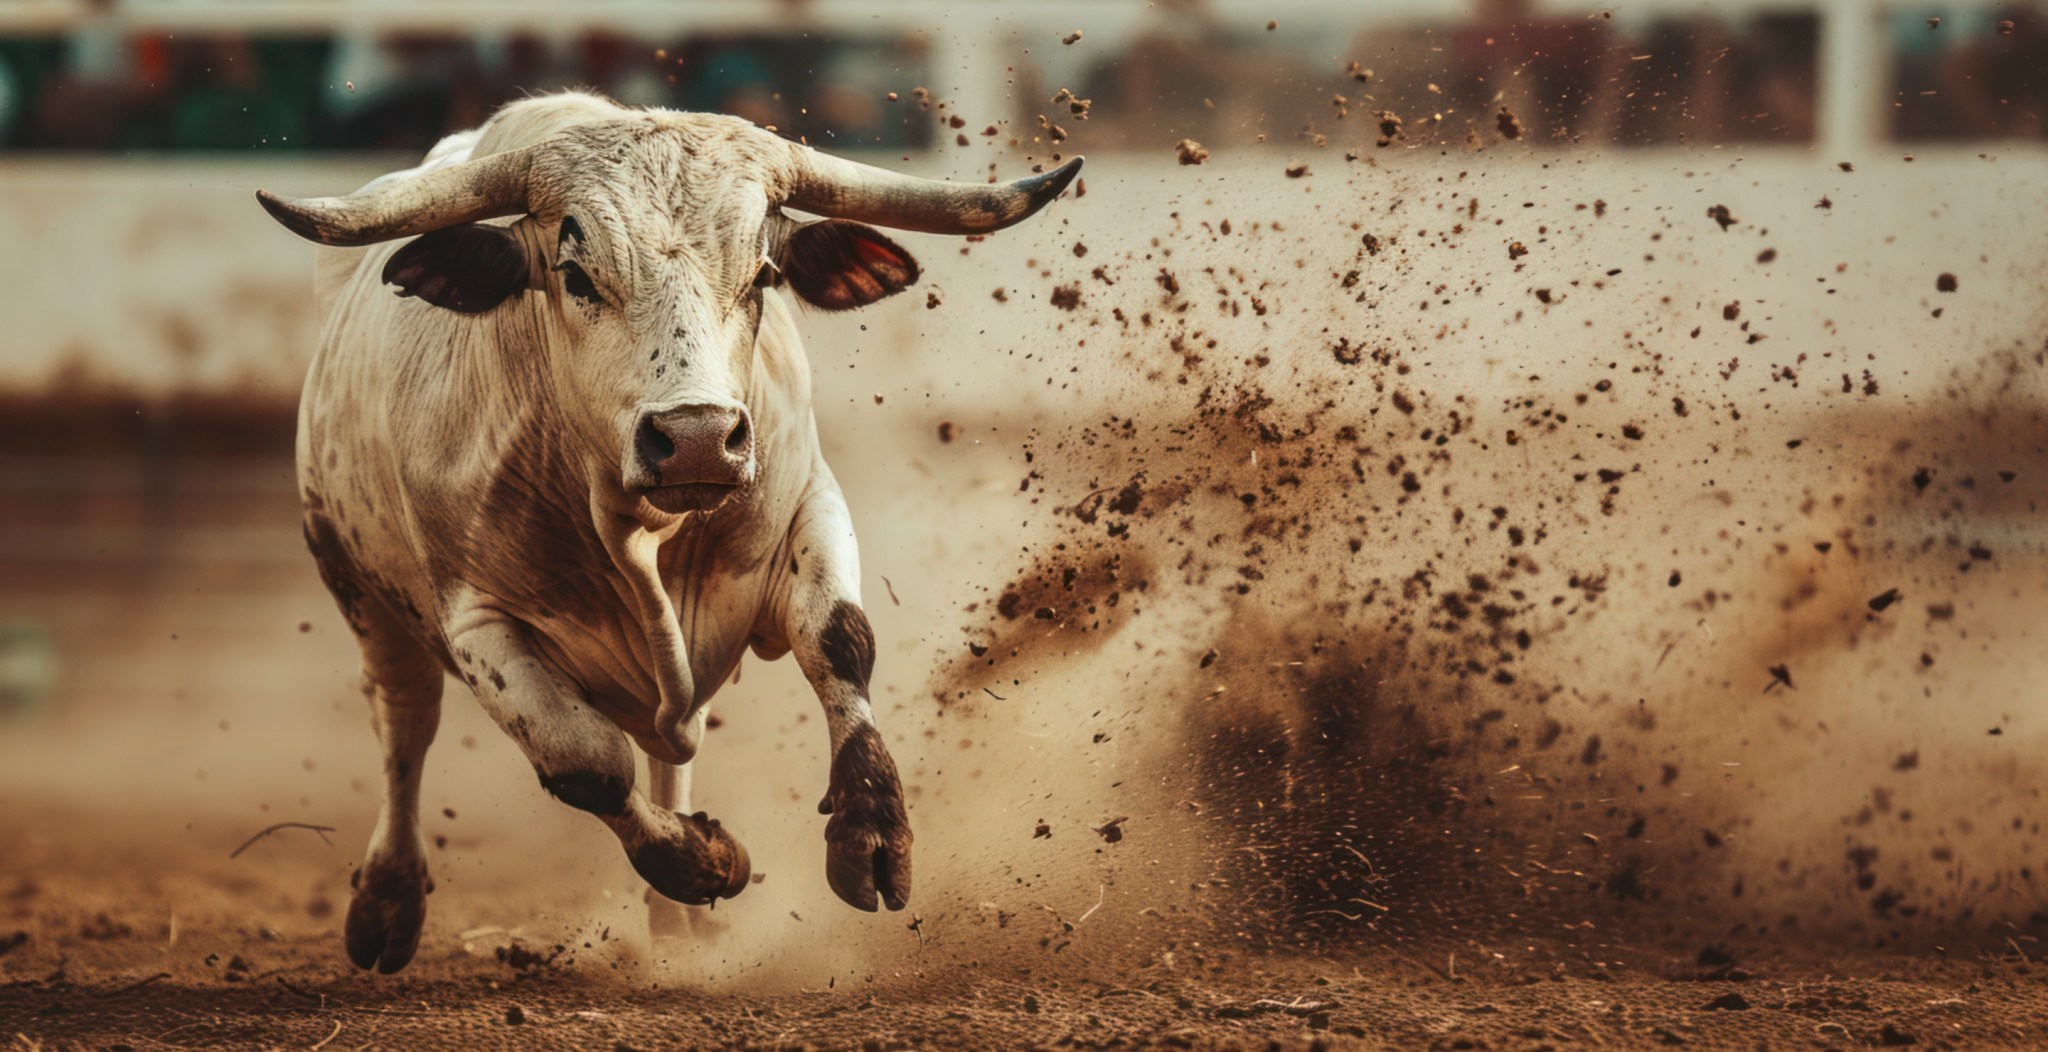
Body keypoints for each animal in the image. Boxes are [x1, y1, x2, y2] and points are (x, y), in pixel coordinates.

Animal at [255, 91, 1080, 973]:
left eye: (763, 274)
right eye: (575, 274)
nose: (696, 436)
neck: (644, 525)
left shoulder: (810, 504)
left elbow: (841, 643)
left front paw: (872, 836)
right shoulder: (476, 622)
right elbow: (584, 762)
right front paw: (704, 860)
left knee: (669, 741)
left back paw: (678, 922)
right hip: (357, 587)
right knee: (405, 724)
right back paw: (389, 901)